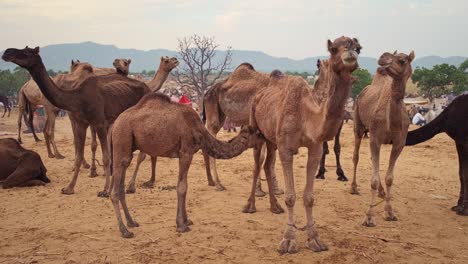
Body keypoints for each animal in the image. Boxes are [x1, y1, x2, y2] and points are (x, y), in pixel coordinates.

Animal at [108, 93, 266, 237]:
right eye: (257, 133)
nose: (265, 137)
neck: (199, 130)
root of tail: (114, 125)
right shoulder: (186, 152)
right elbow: (182, 187)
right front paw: (181, 225)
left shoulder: (185, 154)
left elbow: (185, 186)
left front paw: (186, 220)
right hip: (122, 139)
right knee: (114, 191)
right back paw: (125, 231)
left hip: (127, 148)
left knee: (121, 187)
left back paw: (131, 222)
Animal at [249, 36, 362, 253]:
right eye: (333, 49)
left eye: (359, 48)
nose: (350, 54)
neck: (306, 116)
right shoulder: (286, 148)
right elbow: (291, 196)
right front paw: (288, 240)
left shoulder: (315, 147)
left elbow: (309, 197)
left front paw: (314, 239)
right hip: (256, 130)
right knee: (257, 163)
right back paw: (250, 205)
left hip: (271, 139)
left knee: (267, 164)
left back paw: (274, 207)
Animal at [350, 50, 414, 227]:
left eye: (402, 60)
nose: (384, 57)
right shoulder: (375, 138)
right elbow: (373, 179)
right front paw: (369, 217)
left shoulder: (399, 143)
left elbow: (389, 178)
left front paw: (390, 212)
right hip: (358, 124)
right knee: (356, 156)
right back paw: (353, 188)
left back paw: (381, 193)